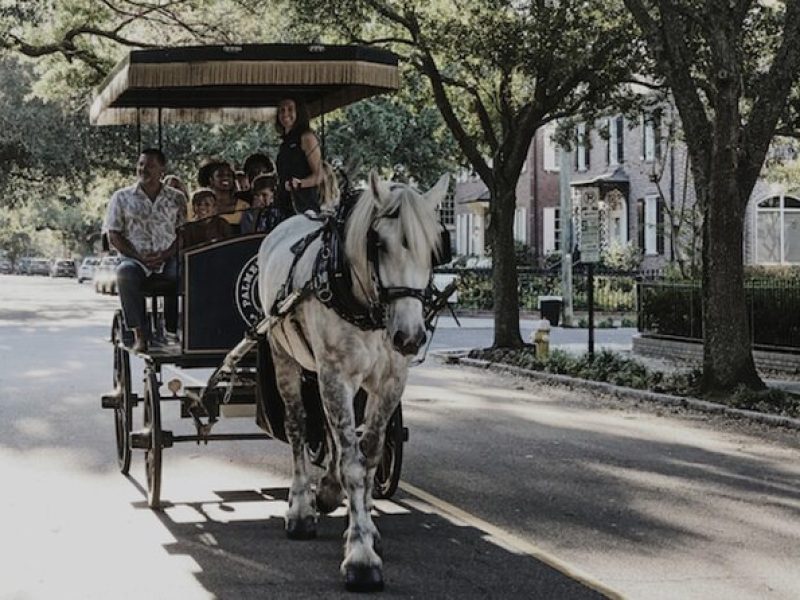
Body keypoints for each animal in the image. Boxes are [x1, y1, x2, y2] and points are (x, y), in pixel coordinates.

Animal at [258, 172, 446, 592]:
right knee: (298, 427)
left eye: (433, 248)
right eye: (379, 243)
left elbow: (369, 453)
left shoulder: (390, 379)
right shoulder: (336, 375)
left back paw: (328, 492)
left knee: (331, 430)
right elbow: (353, 463)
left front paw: (366, 527)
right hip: (284, 355)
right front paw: (361, 557)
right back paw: (300, 508)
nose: (410, 336)